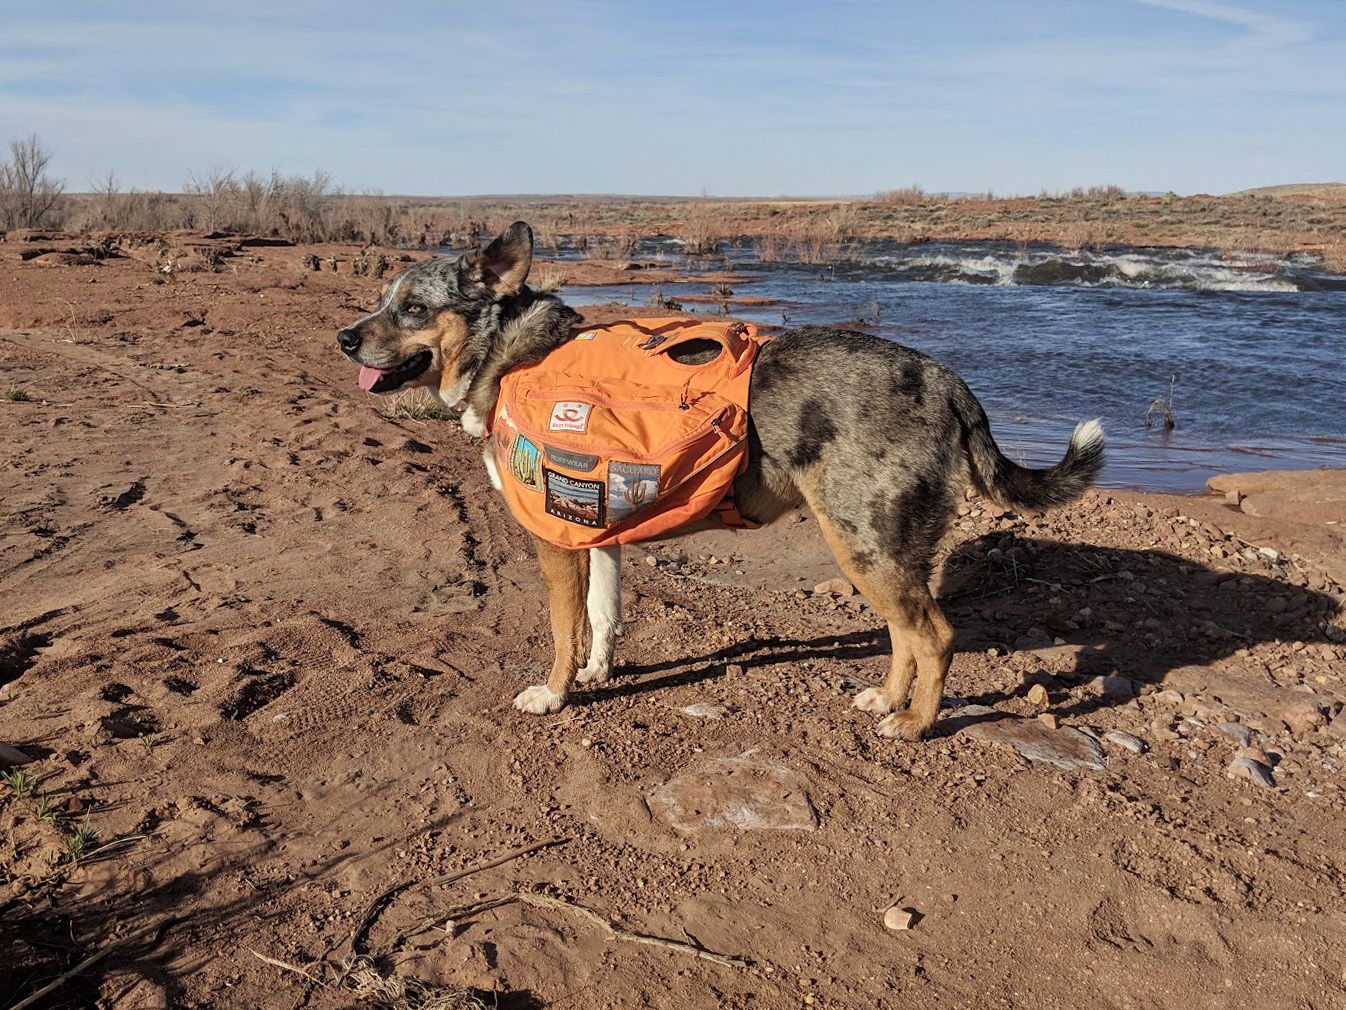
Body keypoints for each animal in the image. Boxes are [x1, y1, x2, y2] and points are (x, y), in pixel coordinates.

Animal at [339, 223, 1103, 743]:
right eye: (380, 300)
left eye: (414, 309)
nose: (345, 339)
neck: (509, 354)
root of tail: (947, 380)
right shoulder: (598, 529)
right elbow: (602, 619)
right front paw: (595, 675)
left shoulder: (556, 540)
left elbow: (562, 628)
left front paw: (554, 694)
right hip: (874, 550)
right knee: (905, 634)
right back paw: (888, 701)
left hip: (865, 542)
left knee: (935, 636)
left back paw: (913, 724)